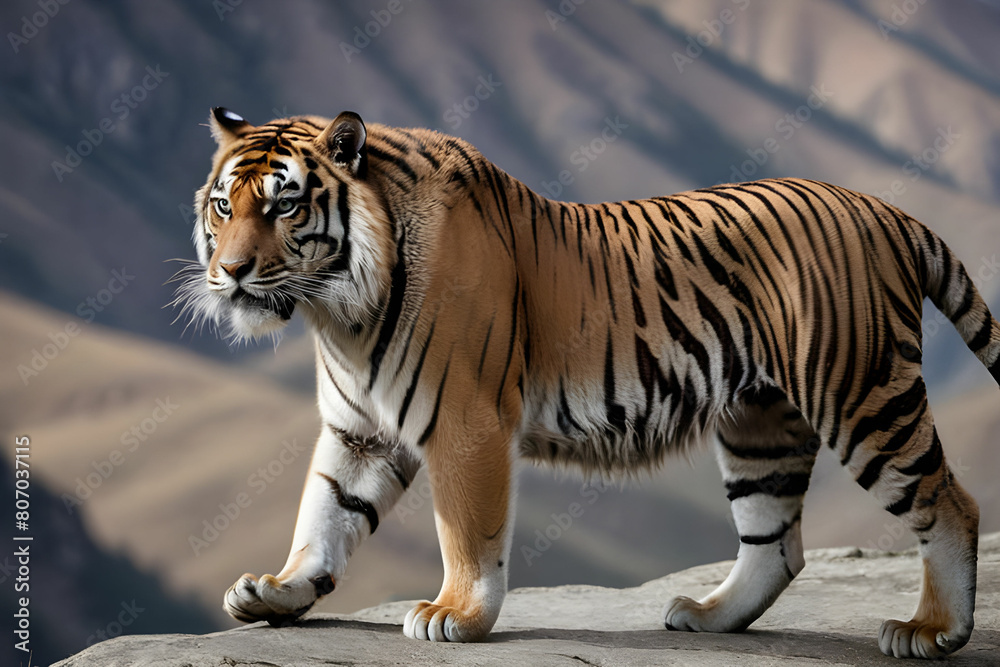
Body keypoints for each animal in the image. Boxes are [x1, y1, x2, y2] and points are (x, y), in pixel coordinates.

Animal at [174, 107, 1000, 659]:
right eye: (223, 204)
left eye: (284, 204)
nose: (231, 271)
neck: (337, 312)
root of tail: (884, 208)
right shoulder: (359, 430)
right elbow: (324, 514)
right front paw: (277, 590)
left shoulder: (465, 420)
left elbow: (466, 530)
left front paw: (456, 614)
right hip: (760, 420)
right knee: (776, 543)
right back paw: (706, 615)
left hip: (862, 395)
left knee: (950, 502)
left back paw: (933, 630)